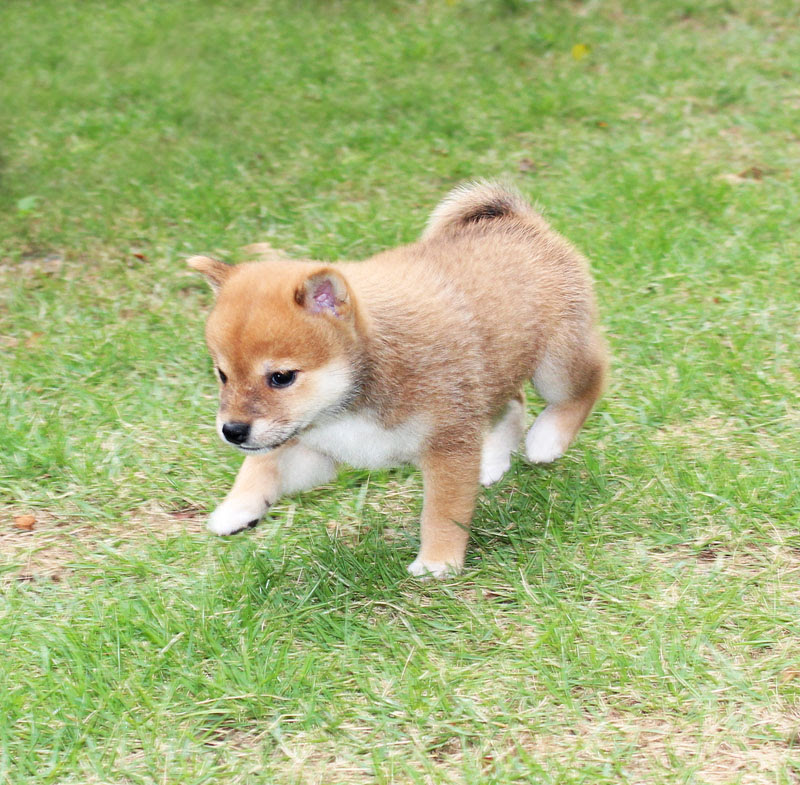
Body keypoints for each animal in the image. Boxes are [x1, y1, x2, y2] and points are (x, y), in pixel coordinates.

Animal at [188, 182, 608, 576]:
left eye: (280, 377)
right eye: (222, 375)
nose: (232, 431)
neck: (353, 400)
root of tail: (518, 221)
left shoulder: (448, 445)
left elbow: (442, 512)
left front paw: (438, 562)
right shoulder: (320, 449)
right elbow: (263, 467)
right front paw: (236, 508)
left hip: (555, 365)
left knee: (591, 380)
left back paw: (547, 439)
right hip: (493, 374)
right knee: (514, 403)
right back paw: (492, 461)